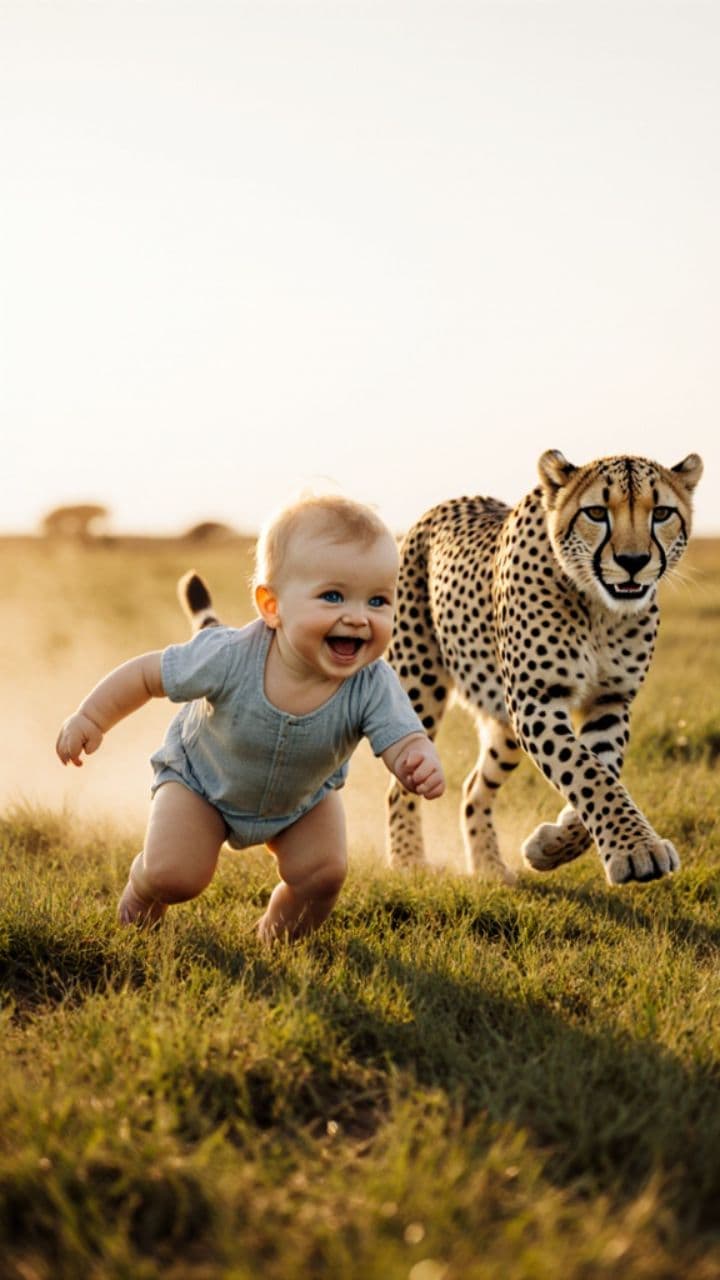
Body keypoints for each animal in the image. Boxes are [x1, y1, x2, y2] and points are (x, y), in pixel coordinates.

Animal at [386, 449, 703, 886]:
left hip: (503, 728)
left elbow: (602, 770)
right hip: (420, 685)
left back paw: (489, 866)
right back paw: (407, 860)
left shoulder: (610, 702)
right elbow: (588, 773)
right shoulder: (536, 700)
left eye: (661, 513)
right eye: (596, 512)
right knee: (401, 781)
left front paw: (553, 845)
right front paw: (637, 849)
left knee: (473, 787)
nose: (633, 561)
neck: (600, 608)